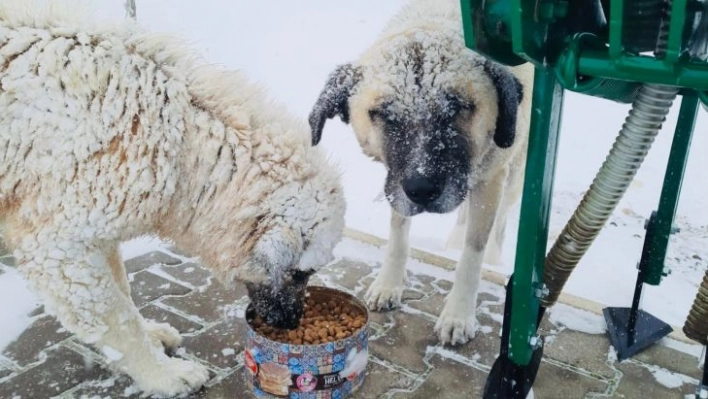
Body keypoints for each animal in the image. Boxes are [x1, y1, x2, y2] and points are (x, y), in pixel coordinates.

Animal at [0, 2, 342, 396]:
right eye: (301, 272)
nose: (291, 323)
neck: (179, 136)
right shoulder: (60, 249)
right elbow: (118, 317)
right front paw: (163, 373)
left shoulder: (98, 223)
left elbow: (124, 292)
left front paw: (151, 336)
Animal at [310, 0, 532, 346]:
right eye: (382, 114)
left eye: (459, 107)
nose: (423, 190)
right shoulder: (396, 183)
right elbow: (398, 233)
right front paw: (389, 283)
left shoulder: (491, 177)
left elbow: (473, 253)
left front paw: (458, 314)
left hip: (513, 171)